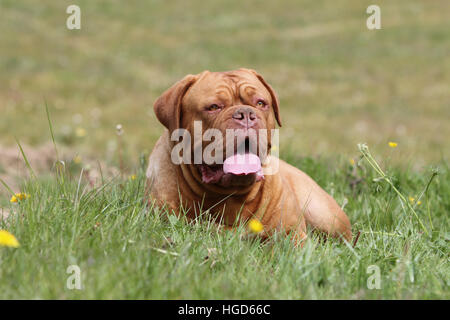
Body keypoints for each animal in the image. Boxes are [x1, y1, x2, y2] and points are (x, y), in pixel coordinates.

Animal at [147, 67, 352, 242]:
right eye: (213, 107)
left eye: (260, 103)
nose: (245, 114)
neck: (230, 196)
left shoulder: (292, 233)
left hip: (325, 216)